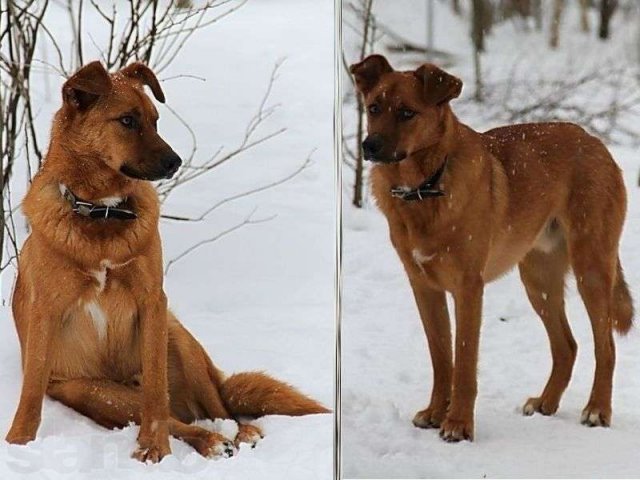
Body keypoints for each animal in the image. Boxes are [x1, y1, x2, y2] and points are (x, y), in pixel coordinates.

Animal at [7, 60, 330, 462]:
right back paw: (208, 440)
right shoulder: (46, 310)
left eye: (155, 120)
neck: (102, 214)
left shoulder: (152, 301)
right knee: (179, 419)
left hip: (178, 340)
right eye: (127, 120)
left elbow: (156, 393)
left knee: (215, 409)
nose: (176, 162)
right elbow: (31, 390)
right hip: (94, 393)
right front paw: (19, 443)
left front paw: (155, 446)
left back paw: (236, 434)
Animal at [350, 55, 636, 442]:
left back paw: (597, 410)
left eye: (407, 113)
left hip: (590, 268)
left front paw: (458, 424)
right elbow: (442, 359)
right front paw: (435, 413)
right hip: (539, 282)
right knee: (567, 346)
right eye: (374, 108)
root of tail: (596, 143)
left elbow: (464, 363)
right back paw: (546, 403)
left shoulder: (468, 288)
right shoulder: (424, 288)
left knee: (605, 347)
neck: (424, 188)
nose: (369, 145)